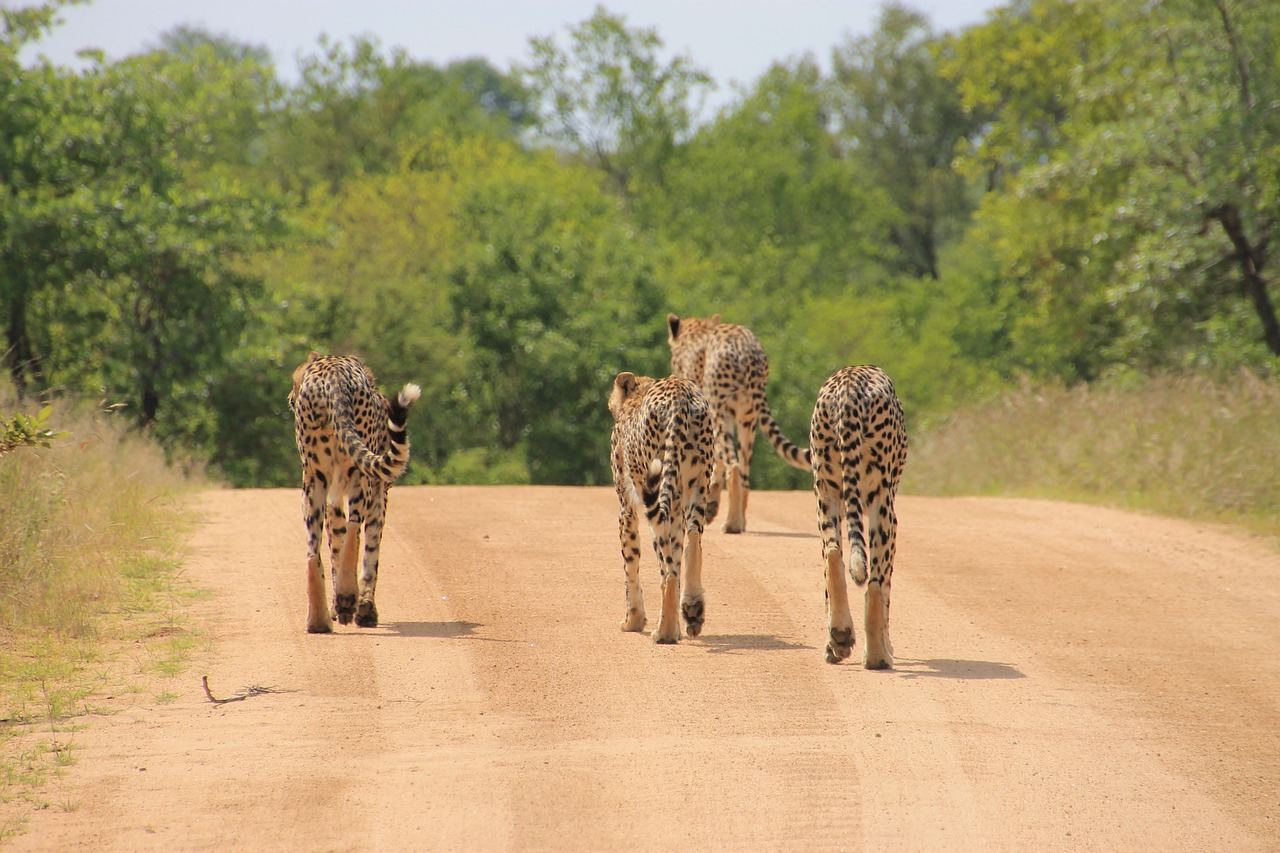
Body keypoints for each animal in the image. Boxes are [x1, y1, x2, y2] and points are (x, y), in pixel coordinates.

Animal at [286, 350, 419, 630]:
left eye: (295, 379)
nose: (291, 397)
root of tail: (332, 375)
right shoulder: (380, 493)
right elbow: (370, 551)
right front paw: (364, 608)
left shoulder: (334, 496)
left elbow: (337, 543)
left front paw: (344, 607)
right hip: (360, 477)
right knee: (354, 528)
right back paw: (347, 599)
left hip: (314, 482)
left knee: (313, 550)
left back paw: (318, 620)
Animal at [606, 368, 716, 640]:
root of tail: (679, 394)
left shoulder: (626, 505)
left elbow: (630, 563)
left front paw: (633, 620)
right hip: (697, 484)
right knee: (691, 541)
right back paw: (692, 609)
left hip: (658, 491)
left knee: (667, 563)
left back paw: (664, 632)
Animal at [670, 312, 808, 532]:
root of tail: (747, 352)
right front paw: (712, 504)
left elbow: (716, 460)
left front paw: (711, 505)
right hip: (747, 418)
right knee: (744, 471)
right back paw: (740, 520)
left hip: (720, 411)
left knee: (733, 465)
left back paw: (732, 524)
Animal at [814, 363, 906, 666]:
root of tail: (849, 383)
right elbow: (886, 588)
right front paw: (887, 645)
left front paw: (832, 646)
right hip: (882, 504)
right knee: (876, 582)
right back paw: (878, 656)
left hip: (826, 493)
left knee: (832, 555)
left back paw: (840, 636)